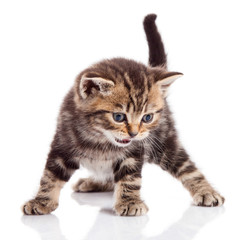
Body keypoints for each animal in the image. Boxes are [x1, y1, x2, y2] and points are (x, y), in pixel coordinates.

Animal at [22, 14, 224, 217]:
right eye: (118, 117)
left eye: (147, 118)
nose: (133, 133)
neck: (99, 140)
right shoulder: (62, 144)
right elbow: (50, 176)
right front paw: (42, 201)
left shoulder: (134, 152)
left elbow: (130, 178)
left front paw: (130, 202)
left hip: (164, 141)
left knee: (186, 167)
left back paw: (206, 191)